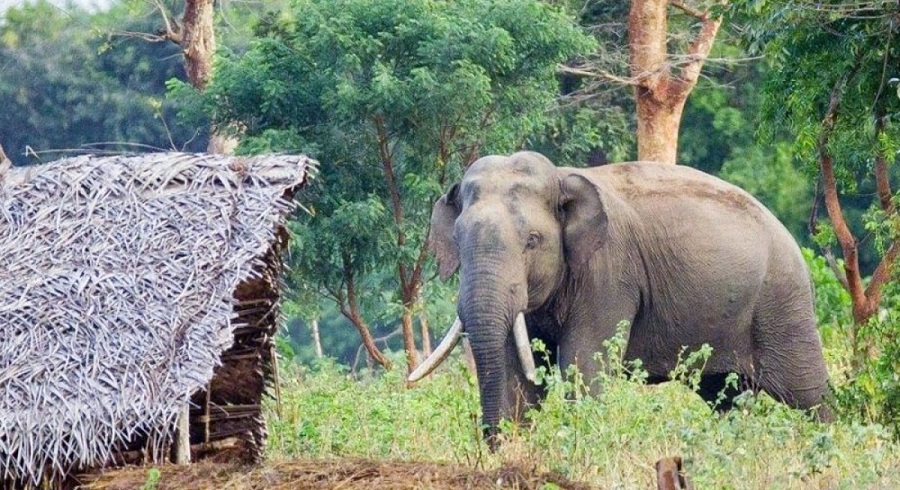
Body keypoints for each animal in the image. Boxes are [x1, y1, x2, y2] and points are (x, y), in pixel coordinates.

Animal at [409, 151, 831, 445]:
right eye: (458, 238)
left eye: (532, 240)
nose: (491, 442)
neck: (562, 176)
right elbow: (517, 372)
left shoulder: (609, 272)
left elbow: (582, 365)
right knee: (724, 397)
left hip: (782, 303)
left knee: (807, 393)